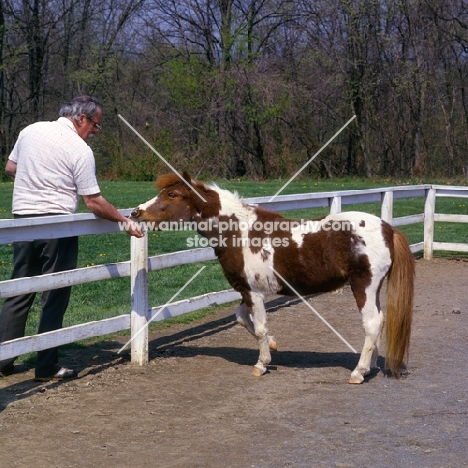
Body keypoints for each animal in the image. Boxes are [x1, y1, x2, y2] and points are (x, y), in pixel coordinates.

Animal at [130, 172, 414, 384]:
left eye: (172, 194)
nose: (135, 213)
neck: (240, 232)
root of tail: (388, 229)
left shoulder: (253, 292)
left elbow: (259, 327)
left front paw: (261, 364)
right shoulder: (247, 290)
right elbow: (242, 319)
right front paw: (274, 345)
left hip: (363, 287)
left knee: (372, 324)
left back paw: (358, 371)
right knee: (379, 322)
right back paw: (371, 365)